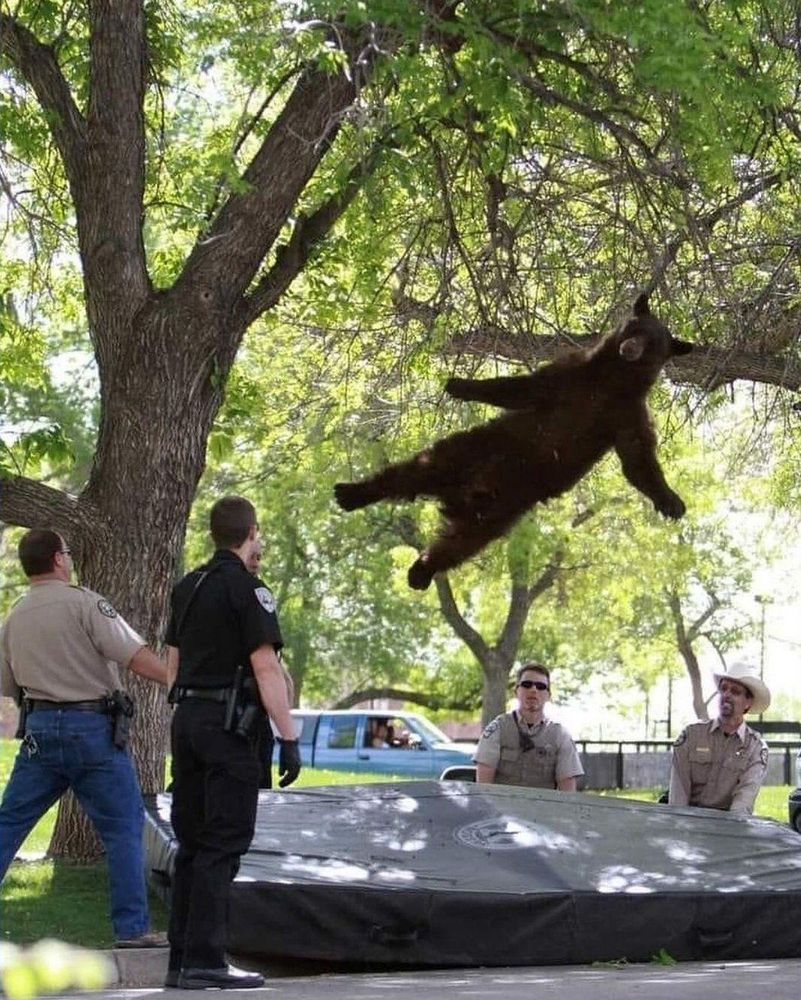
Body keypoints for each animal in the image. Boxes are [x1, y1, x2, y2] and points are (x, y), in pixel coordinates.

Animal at [334, 293, 693, 590]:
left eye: (653, 343)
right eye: (635, 327)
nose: (630, 347)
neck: (612, 380)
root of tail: (463, 494)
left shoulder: (626, 413)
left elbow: (638, 458)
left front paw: (671, 501)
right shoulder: (571, 376)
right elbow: (522, 388)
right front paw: (459, 384)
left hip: (500, 512)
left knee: (459, 544)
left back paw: (420, 571)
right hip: (471, 450)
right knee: (410, 472)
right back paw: (353, 492)